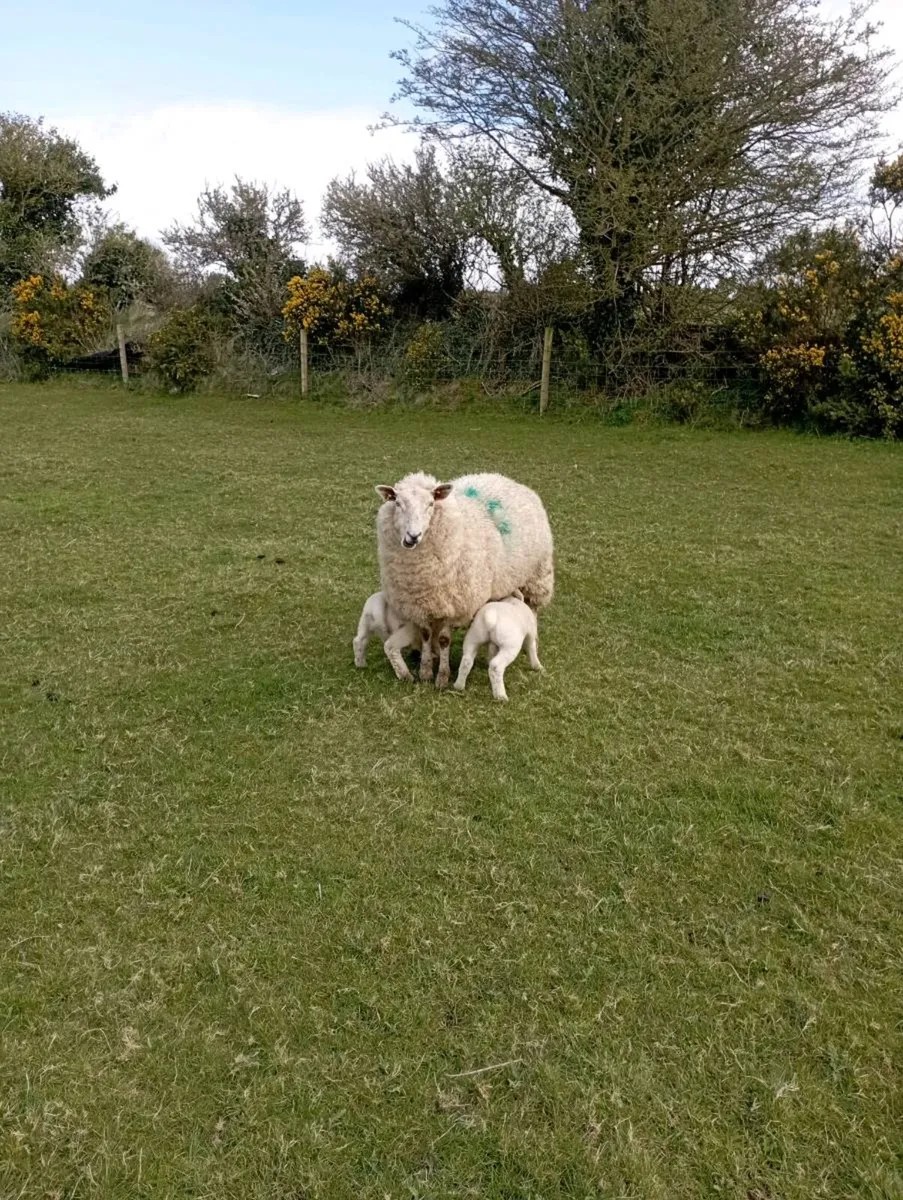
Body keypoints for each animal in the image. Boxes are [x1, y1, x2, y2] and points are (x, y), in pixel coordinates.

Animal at [375, 471, 554, 687]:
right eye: (397, 503)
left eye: (431, 504)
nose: (413, 536)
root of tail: (504, 478)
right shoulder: (421, 605)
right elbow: (426, 635)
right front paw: (426, 671)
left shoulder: (453, 606)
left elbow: (444, 639)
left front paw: (442, 677)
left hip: (537, 577)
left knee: (532, 609)